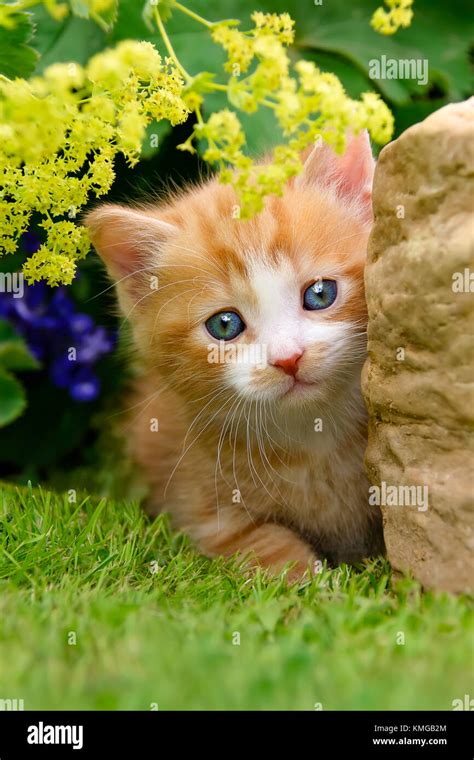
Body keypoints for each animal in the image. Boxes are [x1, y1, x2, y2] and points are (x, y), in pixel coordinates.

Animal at [87, 134, 386, 580]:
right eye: (225, 325)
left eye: (320, 293)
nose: (288, 358)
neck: (314, 436)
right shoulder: (205, 512)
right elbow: (265, 547)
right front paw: (313, 582)